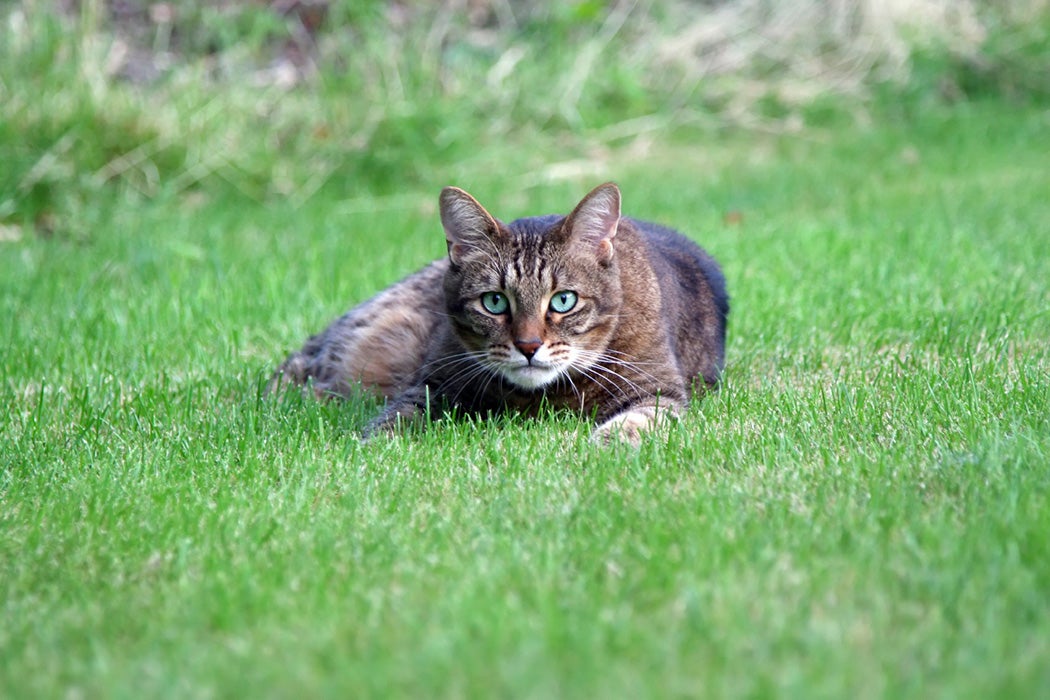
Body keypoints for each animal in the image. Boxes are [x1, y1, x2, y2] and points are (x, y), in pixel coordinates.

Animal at [273, 180, 730, 442]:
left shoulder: (659, 390)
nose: (528, 346)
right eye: (494, 302)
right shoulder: (431, 385)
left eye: (563, 300)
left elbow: (640, 421)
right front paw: (376, 442)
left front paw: (608, 442)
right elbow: (397, 417)